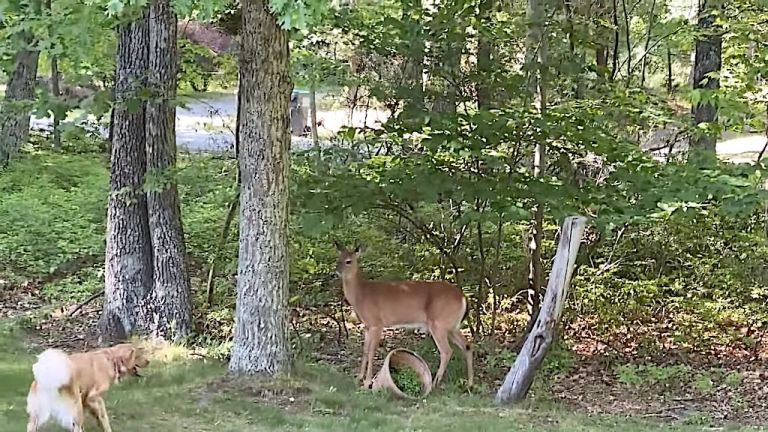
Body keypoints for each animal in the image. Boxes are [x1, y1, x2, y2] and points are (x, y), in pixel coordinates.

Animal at [332, 241, 472, 390]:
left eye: (349, 261)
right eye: (338, 259)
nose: (337, 271)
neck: (361, 295)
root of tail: (463, 297)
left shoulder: (377, 323)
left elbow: (371, 352)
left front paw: (367, 383)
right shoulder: (367, 326)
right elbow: (364, 351)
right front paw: (358, 379)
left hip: (438, 323)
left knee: (446, 351)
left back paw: (434, 384)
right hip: (452, 326)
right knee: (467, 345)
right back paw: (470, 384)